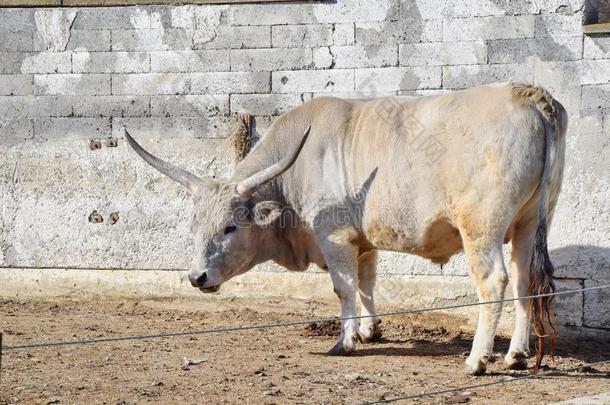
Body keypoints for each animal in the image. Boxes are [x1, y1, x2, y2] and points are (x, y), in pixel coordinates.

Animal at [123, 83, 564, 376]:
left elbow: (344, 288)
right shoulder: (363, 240)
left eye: (231, 226)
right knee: (525, 281)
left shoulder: (333, 237)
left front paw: (345, 340)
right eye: (194, 226)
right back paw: (517, 354)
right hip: (527, 223)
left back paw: (477, 359)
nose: (197, 277)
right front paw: (371, 330)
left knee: (493, 283)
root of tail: (527, 94)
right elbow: (367, 283)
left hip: (480, 228)